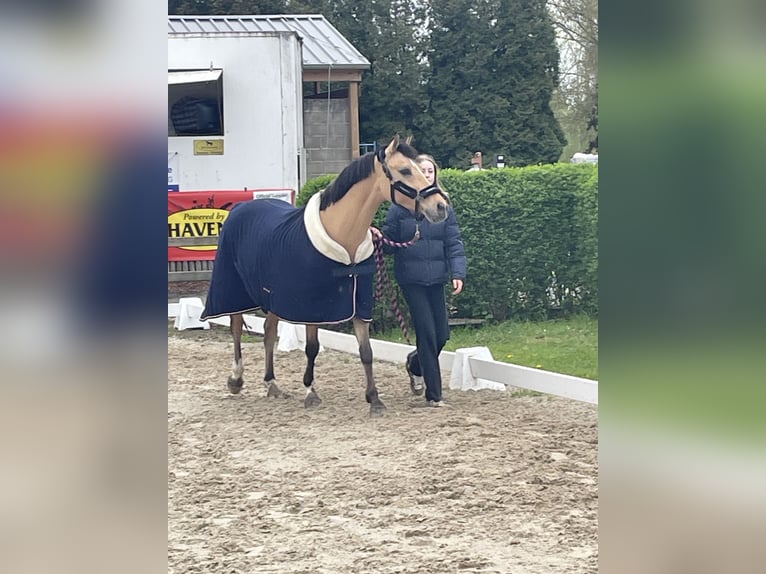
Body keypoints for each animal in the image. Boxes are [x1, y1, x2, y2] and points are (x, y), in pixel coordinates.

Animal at [201, 140, 452, 418]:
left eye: (422, 168)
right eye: (406, 170)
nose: (441, 207)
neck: (342, 235)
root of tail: (241, 208)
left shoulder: (358, 304)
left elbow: (366, 351)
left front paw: (374, 400)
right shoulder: (312, 307)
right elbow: (312, 348)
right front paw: (311, 392)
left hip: (274, 298)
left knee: (268, 332)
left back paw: (272, 384)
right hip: (234, 291)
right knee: (236, 329)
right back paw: (236, 379)